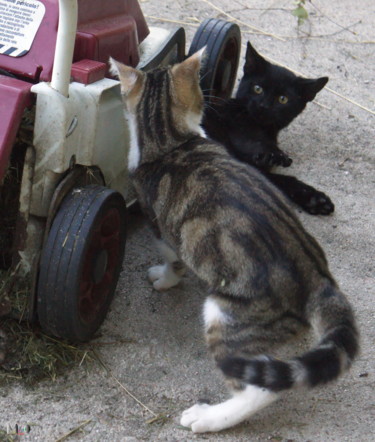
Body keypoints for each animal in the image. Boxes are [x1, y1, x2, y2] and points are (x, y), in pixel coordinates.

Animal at [203, 42, 334, 215]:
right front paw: (314, 197)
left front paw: (315, 200)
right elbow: (273, 176)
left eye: (283, 99)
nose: (263, 106)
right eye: (258, 89)